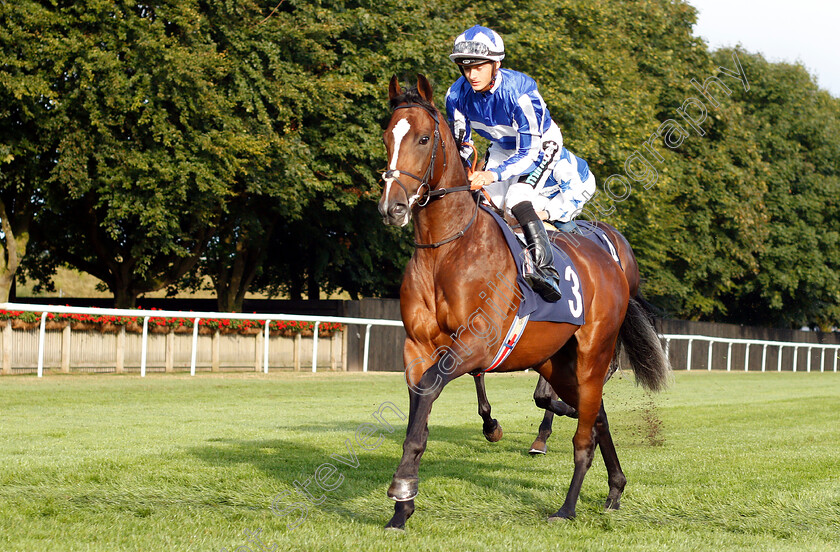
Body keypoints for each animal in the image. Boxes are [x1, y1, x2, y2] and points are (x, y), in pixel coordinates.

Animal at [380, 74, 668, 532]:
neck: (448, 250)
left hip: (593, 354)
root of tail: (610, 262)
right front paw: (402, 506)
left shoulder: (477, 342)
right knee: (595, 414)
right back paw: (615, 489)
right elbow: (418, 408)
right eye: (387, 136)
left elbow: (432, 388)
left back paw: (567, 506)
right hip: (557, 360)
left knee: (584, 433)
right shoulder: (417, 346)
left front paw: (403, 486)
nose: (392, 207)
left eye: (424, 138)